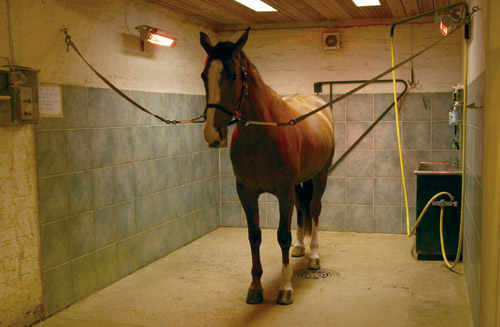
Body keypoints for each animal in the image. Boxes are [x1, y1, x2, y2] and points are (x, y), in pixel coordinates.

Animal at [199, 28, 336, 308]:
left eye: (232, 74)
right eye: (204, 76)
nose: (212, 134)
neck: (263, 133)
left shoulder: (283, 192)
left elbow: (282, 235)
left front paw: (285, 288)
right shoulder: (247, 192)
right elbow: (254, 236)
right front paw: (255, 287)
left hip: (319, 176)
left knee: (314, 209)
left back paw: (314, 256)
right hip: (299, 183)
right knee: (302, 208)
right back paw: (300, 247)